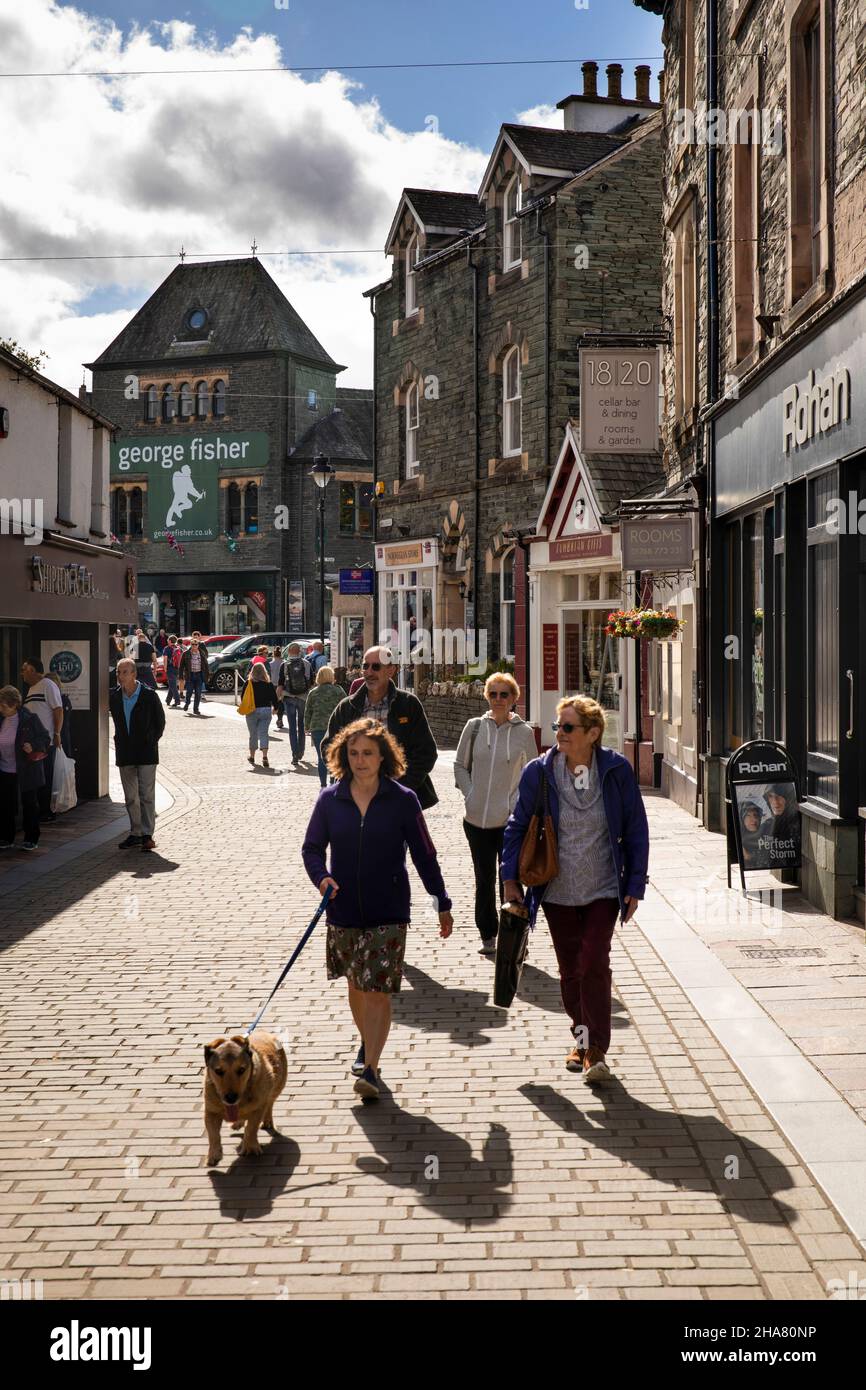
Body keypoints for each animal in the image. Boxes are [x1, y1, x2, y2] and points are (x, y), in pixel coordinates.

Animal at [202, 1028, 287, 1167]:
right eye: (218, 1071)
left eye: (241, 1070)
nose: (231, 1098)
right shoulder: (210, 1111)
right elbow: (213, 1134)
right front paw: (214, 1154)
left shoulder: (258, 1108)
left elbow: (251, 1128)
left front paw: (250, 1147)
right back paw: (238, 1123)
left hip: (278, 1086)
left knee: (270, 1103)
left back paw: (267, 1121)